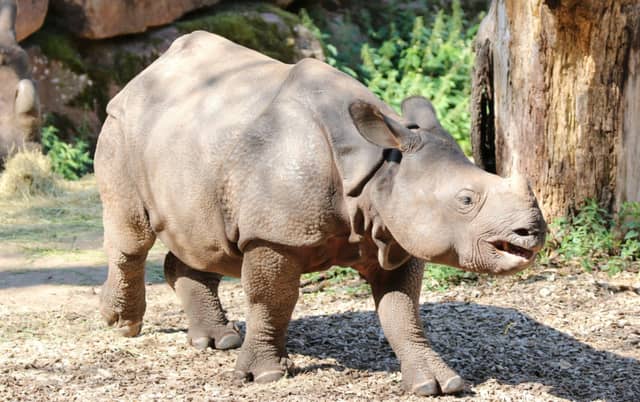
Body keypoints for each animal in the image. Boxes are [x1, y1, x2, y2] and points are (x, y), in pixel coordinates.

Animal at [95, 31, 546, 396]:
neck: (381, 166)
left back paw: (218, 341)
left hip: (194, 149)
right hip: (120, 127)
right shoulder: (274, 233)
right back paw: (123, 325)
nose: (533, 232)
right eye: (466, 200)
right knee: (133, 235)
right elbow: (272, 300)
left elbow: (402, 309)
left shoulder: (394, 230)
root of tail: (143, 75)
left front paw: (437, 383)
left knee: (206, 242)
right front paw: (264, 377)